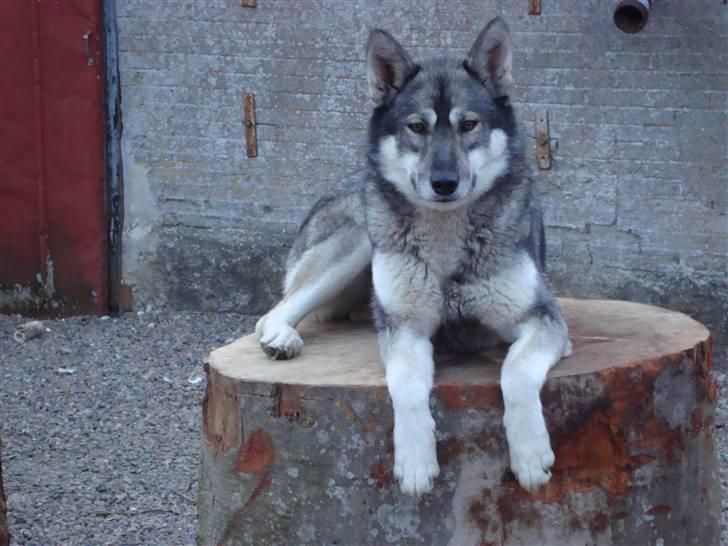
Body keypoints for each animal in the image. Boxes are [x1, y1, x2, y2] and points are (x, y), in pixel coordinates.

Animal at [253, 15, 572, 492]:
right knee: (276, 310)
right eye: (417, 127)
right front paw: (416, 462)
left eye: (468, 125)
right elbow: (403, 385)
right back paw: (281, 338)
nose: (443, 183)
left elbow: (514, 373)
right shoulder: (404, 327)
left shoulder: (543, 319)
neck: (446, 242)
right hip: (357, 241)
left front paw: (531, 455)